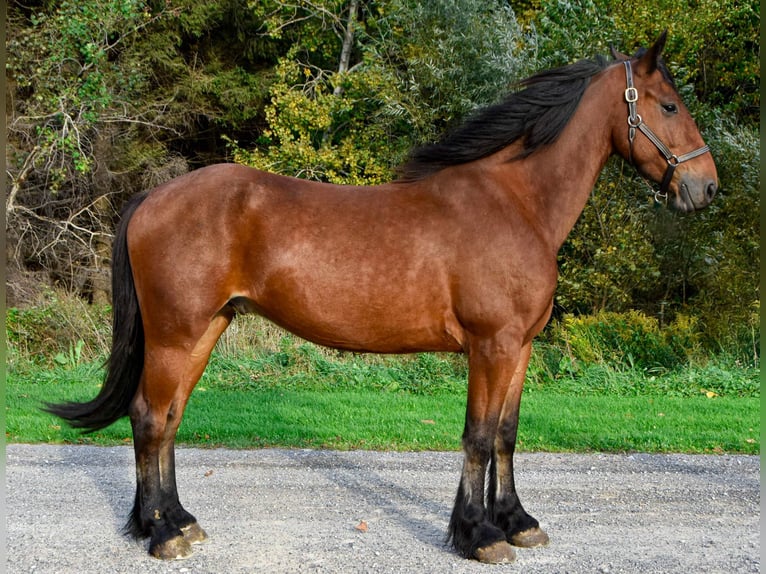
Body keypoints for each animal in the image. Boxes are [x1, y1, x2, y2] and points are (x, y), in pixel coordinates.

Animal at [48, 32, 717, 564]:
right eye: (667, 104)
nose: (705, 186)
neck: (514, 202)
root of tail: (151, 199)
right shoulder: (491, 346)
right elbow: (477, 437)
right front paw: (478, 536)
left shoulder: (520, 347)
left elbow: (506, 433)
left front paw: (516, 523)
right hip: (175, 333)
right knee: (149, 417)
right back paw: (162, 534)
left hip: (205, 330)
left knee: (167, 420)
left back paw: (177, 521)